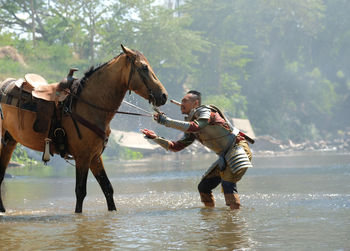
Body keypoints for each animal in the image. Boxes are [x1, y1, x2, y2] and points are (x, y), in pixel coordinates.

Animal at [0, 44, 168, 212]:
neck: (87, 106)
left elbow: (107, 188)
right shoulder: (83, 157)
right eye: (144, 67)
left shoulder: (94, 156)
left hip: (10, 141)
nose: (164, 95)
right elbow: (80, 191)